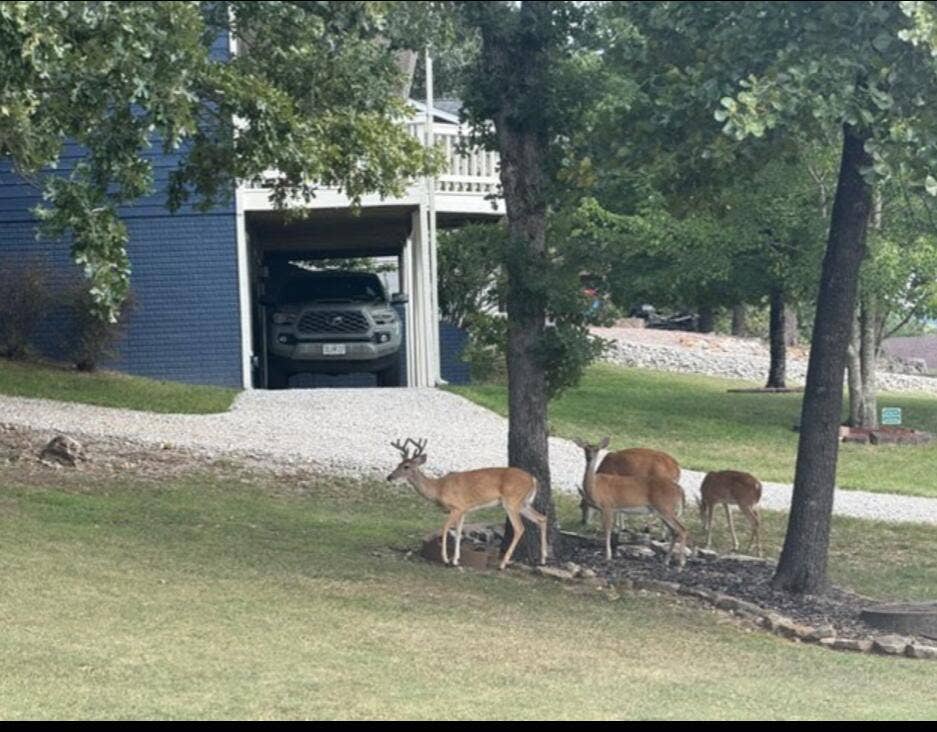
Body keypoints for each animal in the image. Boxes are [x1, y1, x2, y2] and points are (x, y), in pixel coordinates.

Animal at [386, 438, 548, 570]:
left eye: (406, 466)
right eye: (398, 464)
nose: (389, 477)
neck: (438, 488)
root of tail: (533, 479)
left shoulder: (456, 506)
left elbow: (445, 527)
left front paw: (446, 559)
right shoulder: (464, 509)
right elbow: (458, 532)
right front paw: (455, 560)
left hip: (511, 502)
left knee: (519, 528)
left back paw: (503, 564)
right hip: (523, 503)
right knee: (542, 518)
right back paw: (543, 559)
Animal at [576, 437, 688, 567]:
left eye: (597, 449)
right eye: (585, 449)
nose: (589, 457)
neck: (596, 488)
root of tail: (680, 490)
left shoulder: (608, 506)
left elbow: (607, 531)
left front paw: (608, 556)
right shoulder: (613, 507)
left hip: (665, 508)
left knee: (682, 529)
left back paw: (680, 563)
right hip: (663, 510)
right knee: (674, 531)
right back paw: (666, 560)